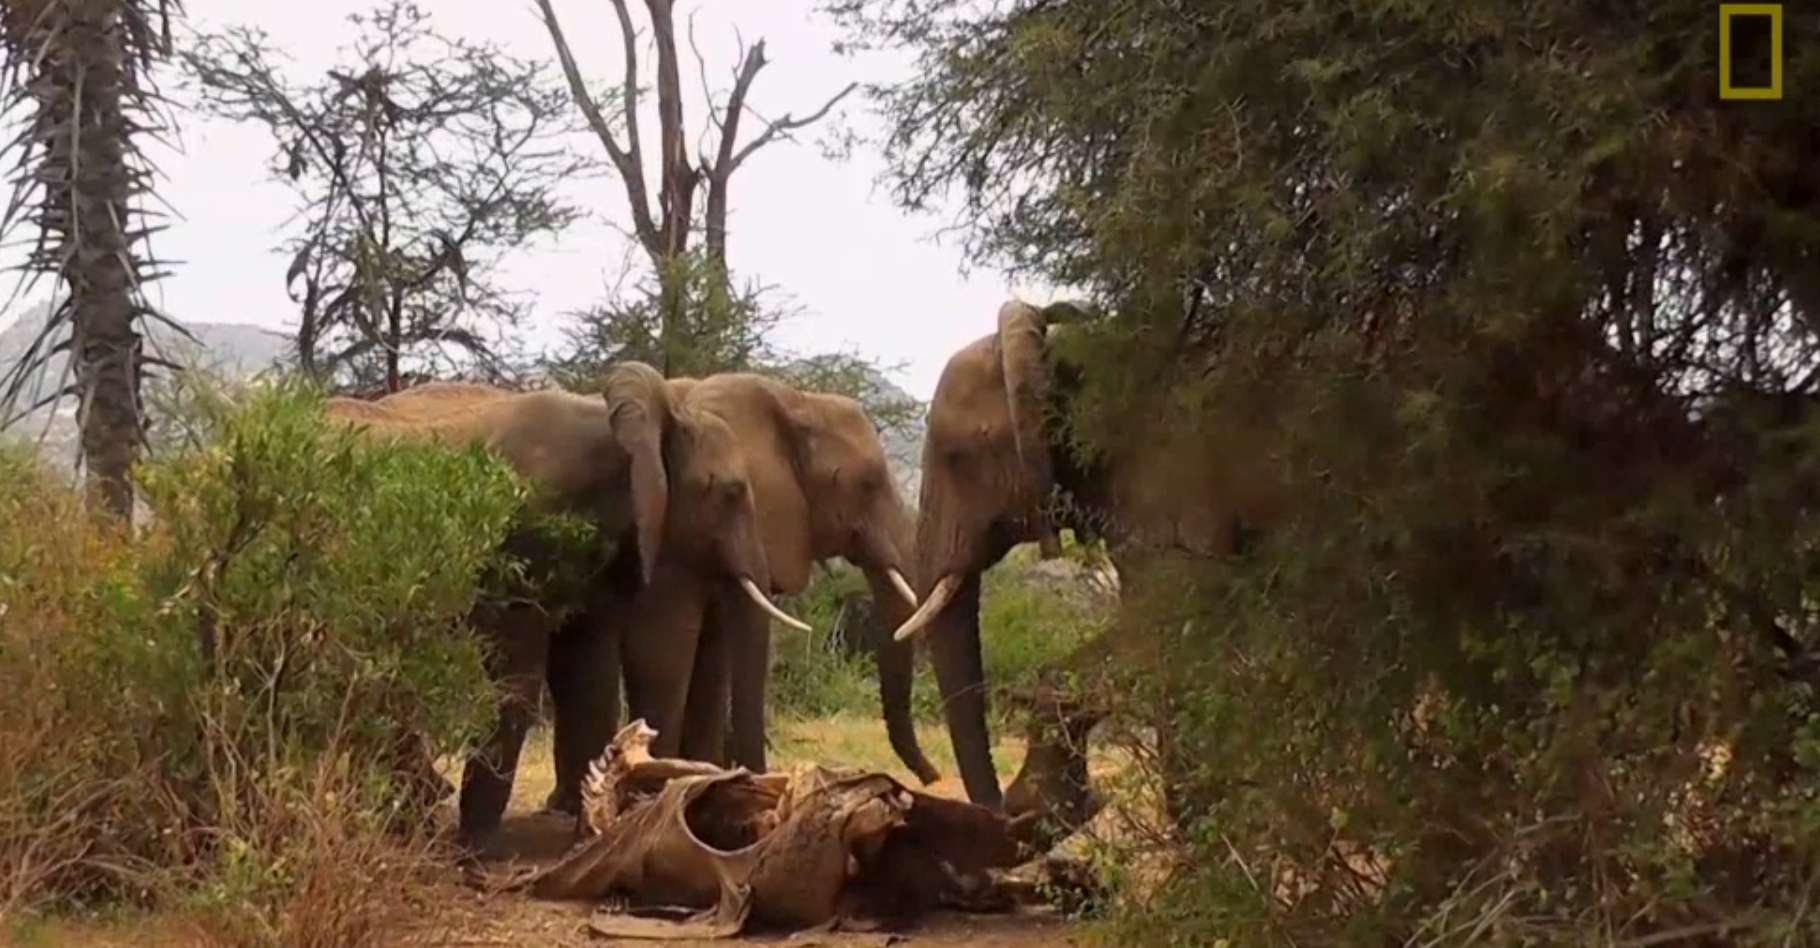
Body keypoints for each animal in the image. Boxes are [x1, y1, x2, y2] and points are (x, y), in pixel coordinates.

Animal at [320, 363, 811, 851]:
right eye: (729, 492)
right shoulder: (525, 538)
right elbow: (527, 675)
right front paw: (480, 847)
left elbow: (585, 673)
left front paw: (590, 828)